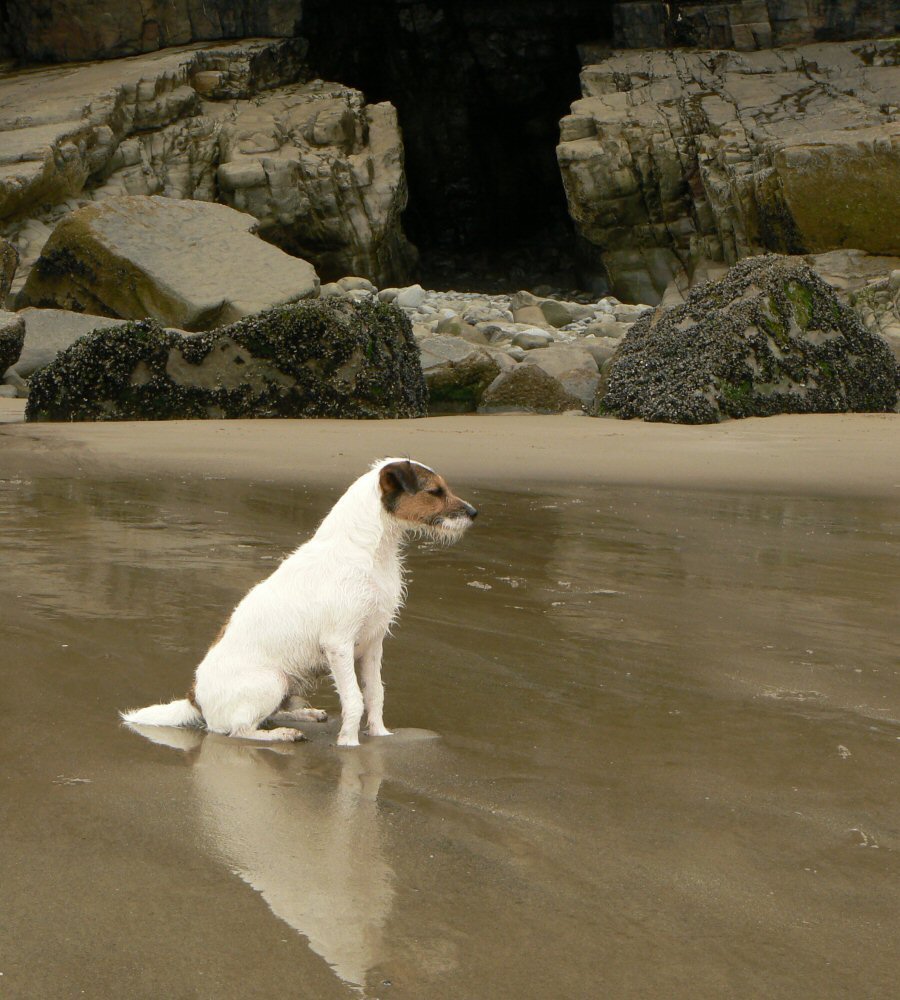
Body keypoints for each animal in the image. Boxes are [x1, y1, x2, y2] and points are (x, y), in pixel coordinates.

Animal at [125, 458, 486, 748]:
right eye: (435, 491)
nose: (474, 513)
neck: (369, 551)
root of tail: (194, 699)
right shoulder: (339, 645)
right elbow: (354, 698)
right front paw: (349, 743)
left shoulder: (373, 643)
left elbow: (375, 694)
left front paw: (380, 735)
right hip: (272, 680)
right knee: (239, 730)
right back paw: (281, 735)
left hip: (287, 683)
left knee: (272, 713)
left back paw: (306, 716)